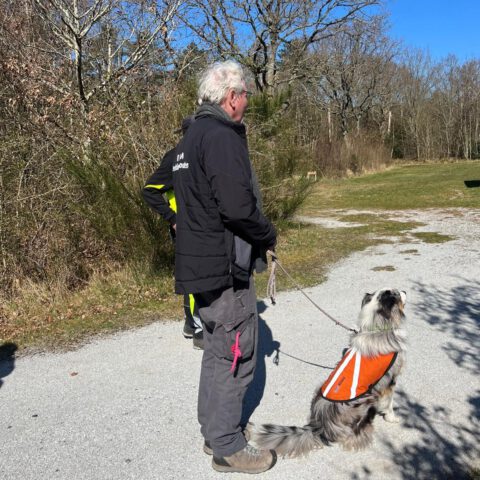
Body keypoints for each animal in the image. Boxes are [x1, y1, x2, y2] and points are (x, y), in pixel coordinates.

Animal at [255, 288, 407, 457]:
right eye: (397, 293)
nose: (405, 290)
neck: (375, 328)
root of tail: (319, 424)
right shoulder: (390, 380)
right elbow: (389, 403)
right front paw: (392, 418)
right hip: (363, 401)